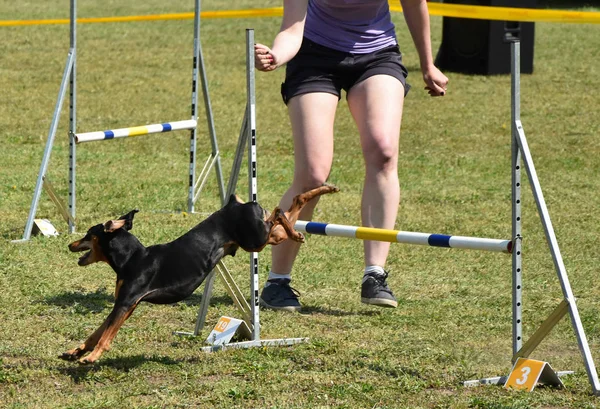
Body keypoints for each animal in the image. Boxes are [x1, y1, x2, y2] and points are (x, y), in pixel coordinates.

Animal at [63, 183, 340, 362]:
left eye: (88, 234)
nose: (70, 245)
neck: (133, 258)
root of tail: (237, 204)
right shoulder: (124, 305)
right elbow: (98, 331)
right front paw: (76, 351)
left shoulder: (126, 302)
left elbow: (105, 335)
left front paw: (91, 357)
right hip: (264, 238)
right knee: (294, 204)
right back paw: (322, 195)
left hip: (257, 238)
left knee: (278, 212)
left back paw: (298, 230)